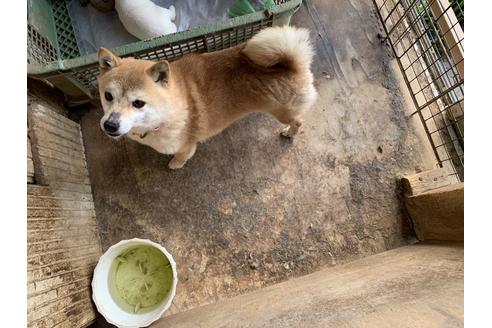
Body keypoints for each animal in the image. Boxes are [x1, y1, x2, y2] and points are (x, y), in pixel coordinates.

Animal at [98, 26, 318, 169]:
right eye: (108, 96)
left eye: (138, 103)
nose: (110, 125)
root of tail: (292, 64)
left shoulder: (187, 146)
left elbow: (182, 156)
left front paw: (175, 164)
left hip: (283, 112)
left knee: (299, 120)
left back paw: (290, 132)